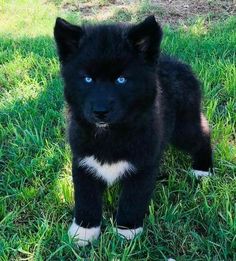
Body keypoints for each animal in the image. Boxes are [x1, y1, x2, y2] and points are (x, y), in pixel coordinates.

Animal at [54, 15, 213, 244]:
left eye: (121, 79)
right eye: (87, 78)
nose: (100, 112)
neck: (110, 134)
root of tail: (176, 62)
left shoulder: (143, 165)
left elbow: (133, 198)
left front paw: (127, 231)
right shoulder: (83, 161)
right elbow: (86, 197)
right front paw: (84, 230)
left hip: (183, 128)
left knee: (203, 133)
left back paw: (202, 170)